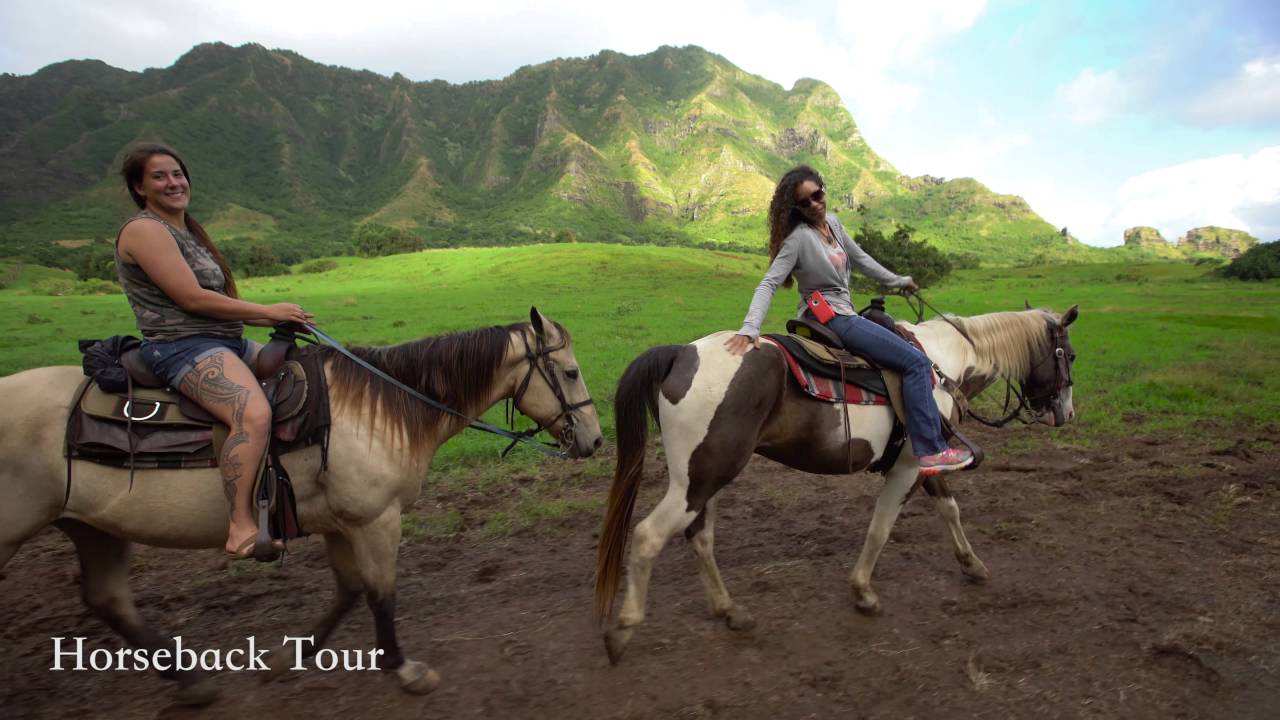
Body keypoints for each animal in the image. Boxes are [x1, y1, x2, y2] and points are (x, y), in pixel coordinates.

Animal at [0, 307, 601, 702]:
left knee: (109, 599)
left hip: (92, 527)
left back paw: (192, 682)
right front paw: (404, 669)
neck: (382, 406)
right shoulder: (376, 519)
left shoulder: (341, 522)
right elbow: (382, 594)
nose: (595, 441)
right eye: (571, 372)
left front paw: (286, 658)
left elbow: (350, 591)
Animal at [593, 302, 1075, 661]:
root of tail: (681, 353)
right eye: (1068, 356)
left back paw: (730, 611)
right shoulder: (907, 468)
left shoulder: (927, 460)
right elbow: (881, 528)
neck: (941, 363)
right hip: (698, 480)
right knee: (648, 535)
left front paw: (972, 565)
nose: (1066, 413)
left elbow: (949, 508)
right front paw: (863, 592)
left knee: (700, 537)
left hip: (706, 478)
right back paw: (621, 632)